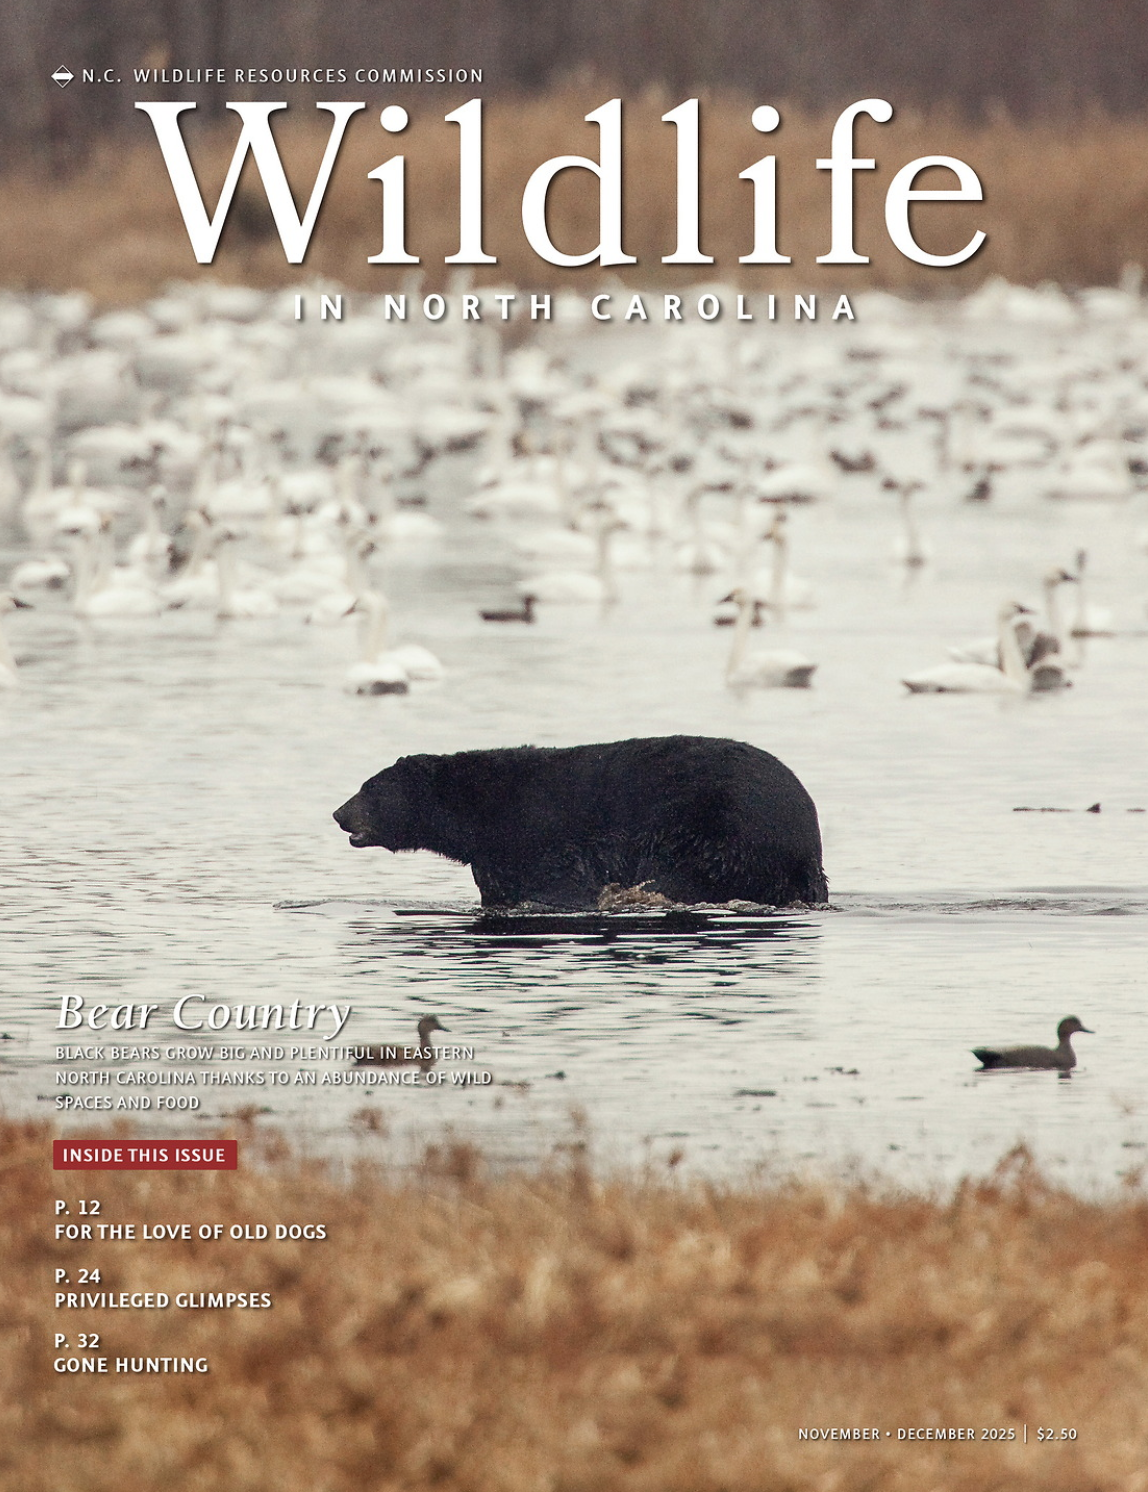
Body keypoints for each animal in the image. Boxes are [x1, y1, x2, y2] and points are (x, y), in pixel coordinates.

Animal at [333, 735, 828, 910]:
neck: (478, 810)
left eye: (369, 788)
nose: (339, 813)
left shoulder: (536, 836)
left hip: (722, 832)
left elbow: (558, 882)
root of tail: (807, 839)